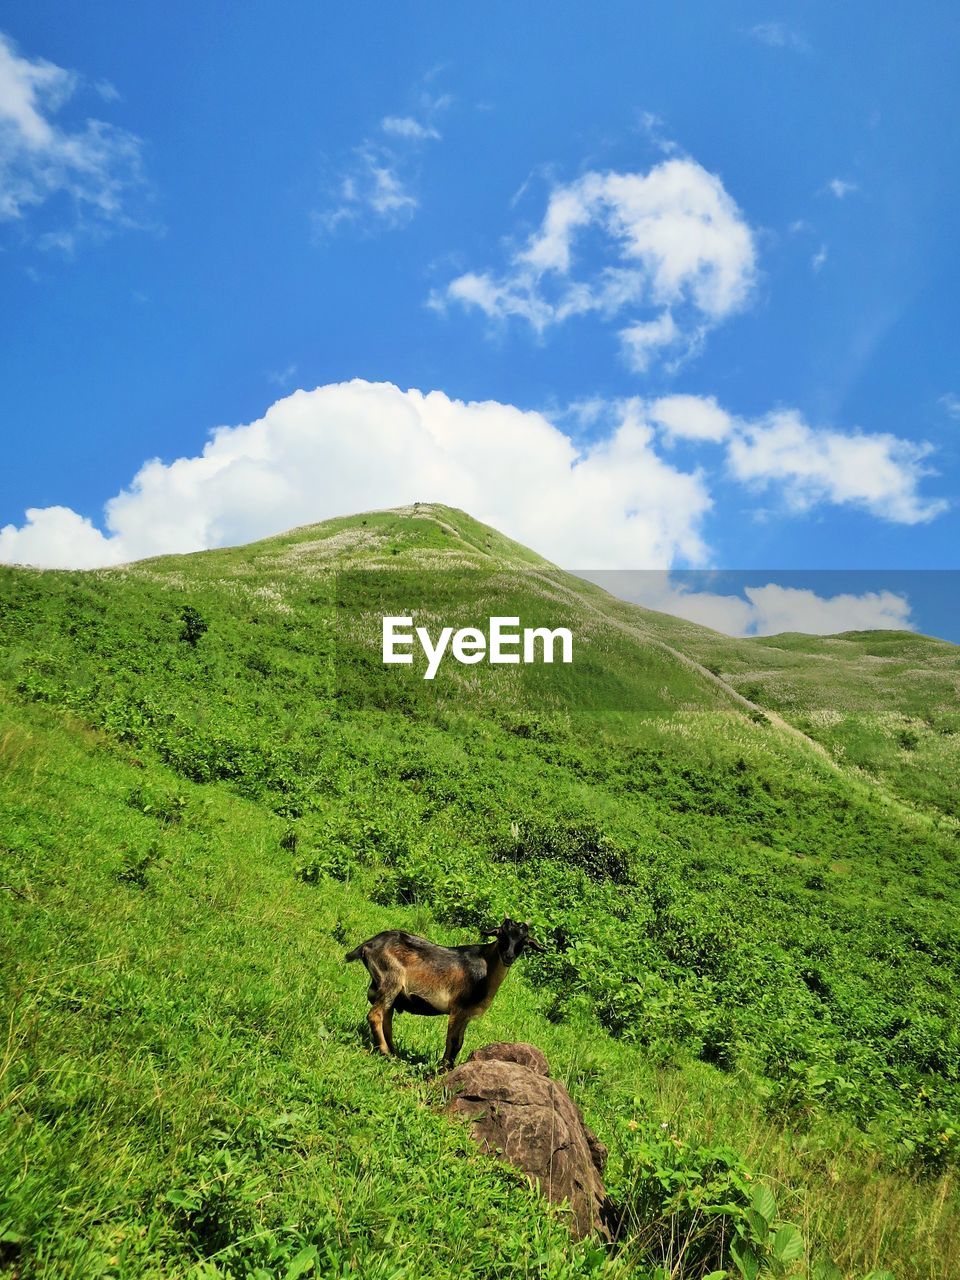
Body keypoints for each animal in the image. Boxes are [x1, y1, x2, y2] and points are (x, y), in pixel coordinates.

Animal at [345, 916, 545, 1064]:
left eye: (523, 940)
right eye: (501, 934)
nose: (509, 956)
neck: (486, 967)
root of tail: (368, 945)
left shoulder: (467, 1014)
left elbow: (460, 1042)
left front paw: (450, 1066)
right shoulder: (458, 1008)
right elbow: (453, 1041)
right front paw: (443, 1068)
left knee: (386, 1017)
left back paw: (393, 1053)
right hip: (390, 981)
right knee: (375, 1015)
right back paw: (386, 1053)